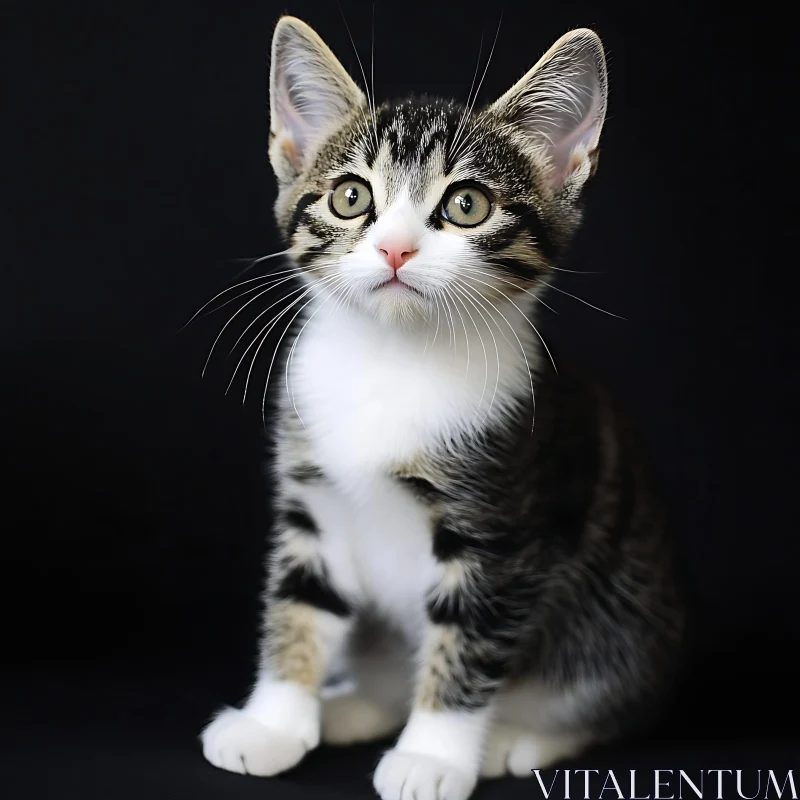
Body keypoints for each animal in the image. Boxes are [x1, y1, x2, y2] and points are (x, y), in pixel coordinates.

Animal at [200, 14, 688, 800]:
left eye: (467, 205)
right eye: (350, 197)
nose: (396, 249)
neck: (392, 361)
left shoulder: (501, 529)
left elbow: (468, 641)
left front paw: (431, 756)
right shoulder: (312, 501)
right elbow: (299, 602)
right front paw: (273, 721)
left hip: (626, 624)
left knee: (611, 703)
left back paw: (516, 741)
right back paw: (354, 706)